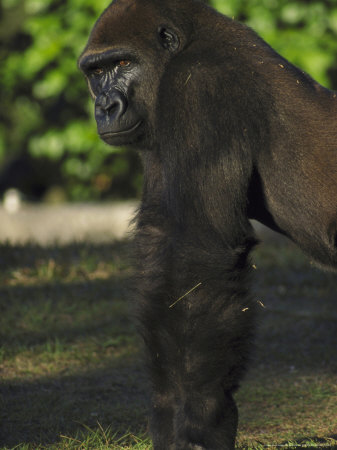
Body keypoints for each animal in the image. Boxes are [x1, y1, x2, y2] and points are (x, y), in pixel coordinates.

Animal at [79, 0, 336, 446]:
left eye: (123, 63)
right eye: (96, 72)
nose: (104, 108)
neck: (188, 42)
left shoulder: (199, 89)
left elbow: (198, 257)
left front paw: (202, 416)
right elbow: (164, 252)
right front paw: (168, 412)